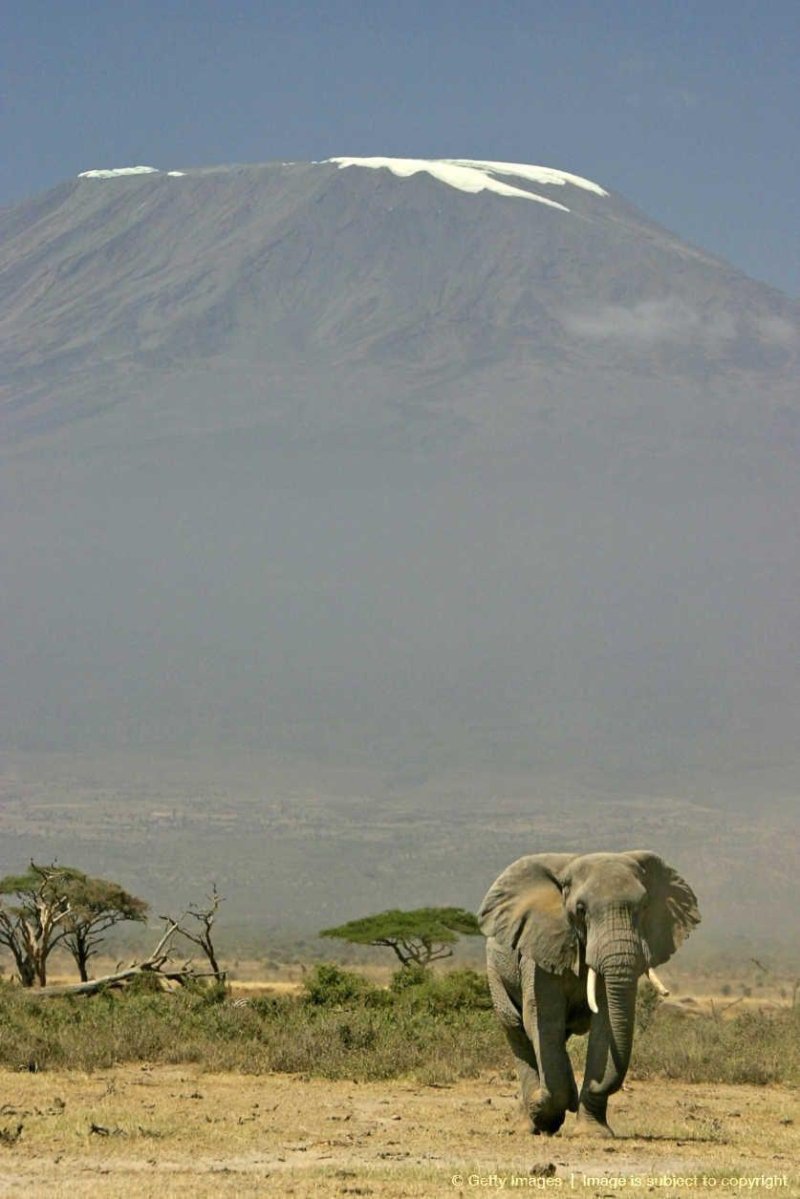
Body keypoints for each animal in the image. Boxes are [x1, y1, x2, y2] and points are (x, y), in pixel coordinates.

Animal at [479, 853, 695, 1131]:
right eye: (580, 910)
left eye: (645, 906)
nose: (590, 1088)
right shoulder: (540, 951)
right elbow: (543, 1018)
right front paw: (546, 1109)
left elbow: (605, 1022)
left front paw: (593, 1131)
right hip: (495, 969)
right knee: (516, 1028)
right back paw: (530, 1118)